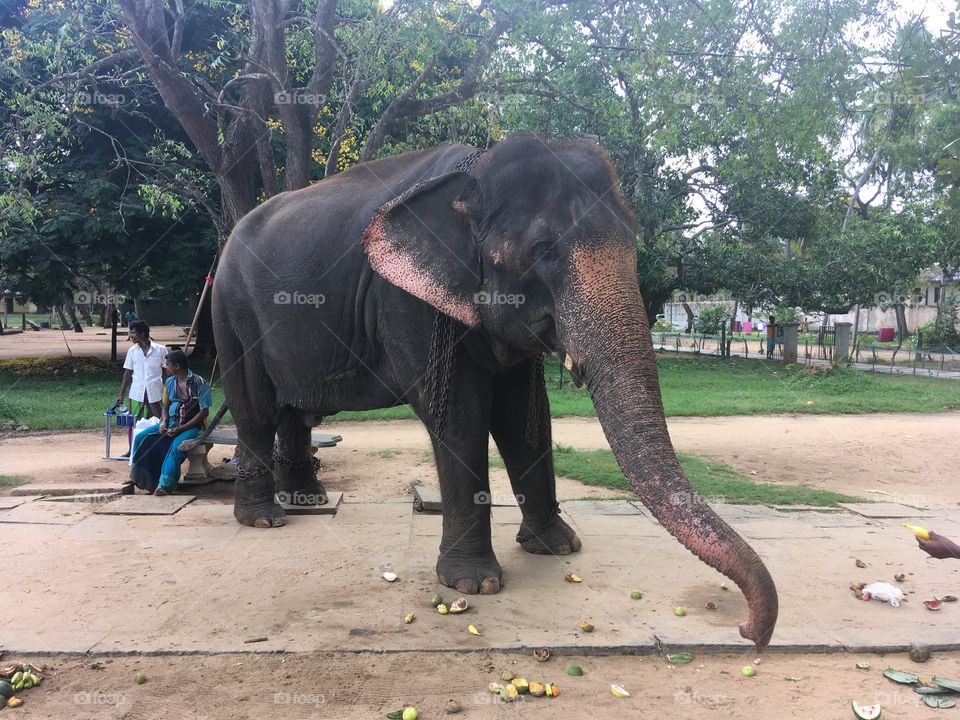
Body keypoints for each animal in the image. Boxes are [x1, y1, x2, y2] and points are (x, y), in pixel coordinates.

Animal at [211, 135, 778, 648]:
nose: (747, 630)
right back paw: (265, 519)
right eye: (542, 251)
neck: (473, 173)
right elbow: (461, 418)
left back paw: (306, 501)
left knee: (292, 412)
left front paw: (557, 548)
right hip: (233, 312)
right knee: (256, 409)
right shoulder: (408, 304)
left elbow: (523, 417)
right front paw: (472, 585)